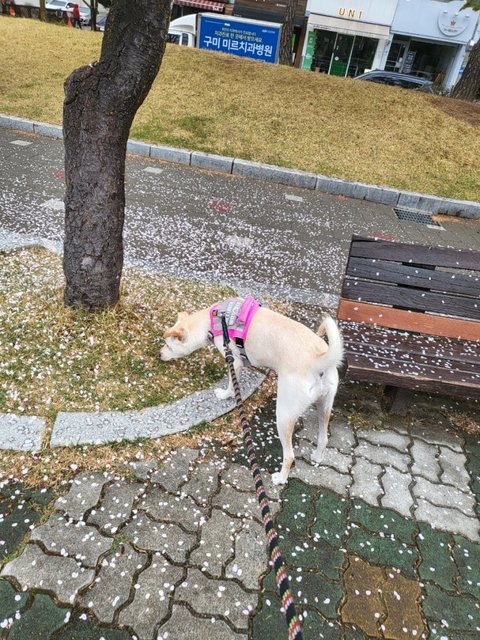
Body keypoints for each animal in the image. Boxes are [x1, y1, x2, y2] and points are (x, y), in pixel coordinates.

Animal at [160, 297, 343, 485]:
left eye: (168, 345)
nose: (159, 354)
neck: (213, 320)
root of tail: (318, 361)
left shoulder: (233, 362)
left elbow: (231, 384)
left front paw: (225, 395)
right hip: (324, 406)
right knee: (323, 438)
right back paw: (317, 457)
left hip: (284, 415)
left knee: (290, 455)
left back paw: (280, 478)